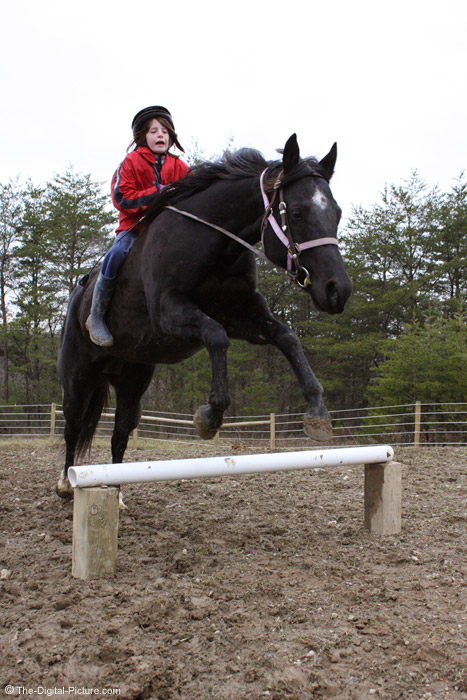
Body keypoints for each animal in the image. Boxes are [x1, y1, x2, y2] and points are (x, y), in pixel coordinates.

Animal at [56, 134, 352, 498]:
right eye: (297, 212)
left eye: (337, 213)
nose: (338, 290)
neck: (214, 242)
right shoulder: (168, 311)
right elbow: (216, 336)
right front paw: (210, 414)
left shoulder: (241, 312)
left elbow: (286, 337)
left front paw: (317, 410)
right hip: (77, 378)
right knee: (72, 425)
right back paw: (66, 482)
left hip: (133, 380)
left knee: (121, 433)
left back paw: (117, 493)